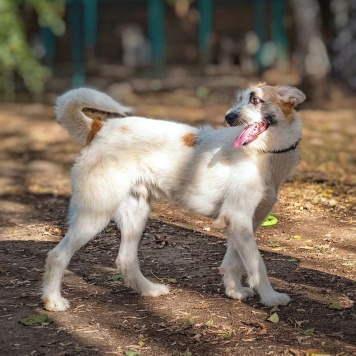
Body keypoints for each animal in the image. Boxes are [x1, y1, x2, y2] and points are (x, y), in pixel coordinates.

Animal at [42, 84, 306, 312]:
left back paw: (149, 290)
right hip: (95, 213)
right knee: (56, 256)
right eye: (240, 99)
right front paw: (270, 297)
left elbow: (234, 260)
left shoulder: (242, 222)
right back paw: (53, 301)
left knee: (125, 260)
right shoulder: (238, 218)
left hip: (136, 215)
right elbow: (257, 264)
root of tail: (98, 129)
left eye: (255, 100)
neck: (262, 152)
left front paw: (235, 291)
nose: (228, 117)